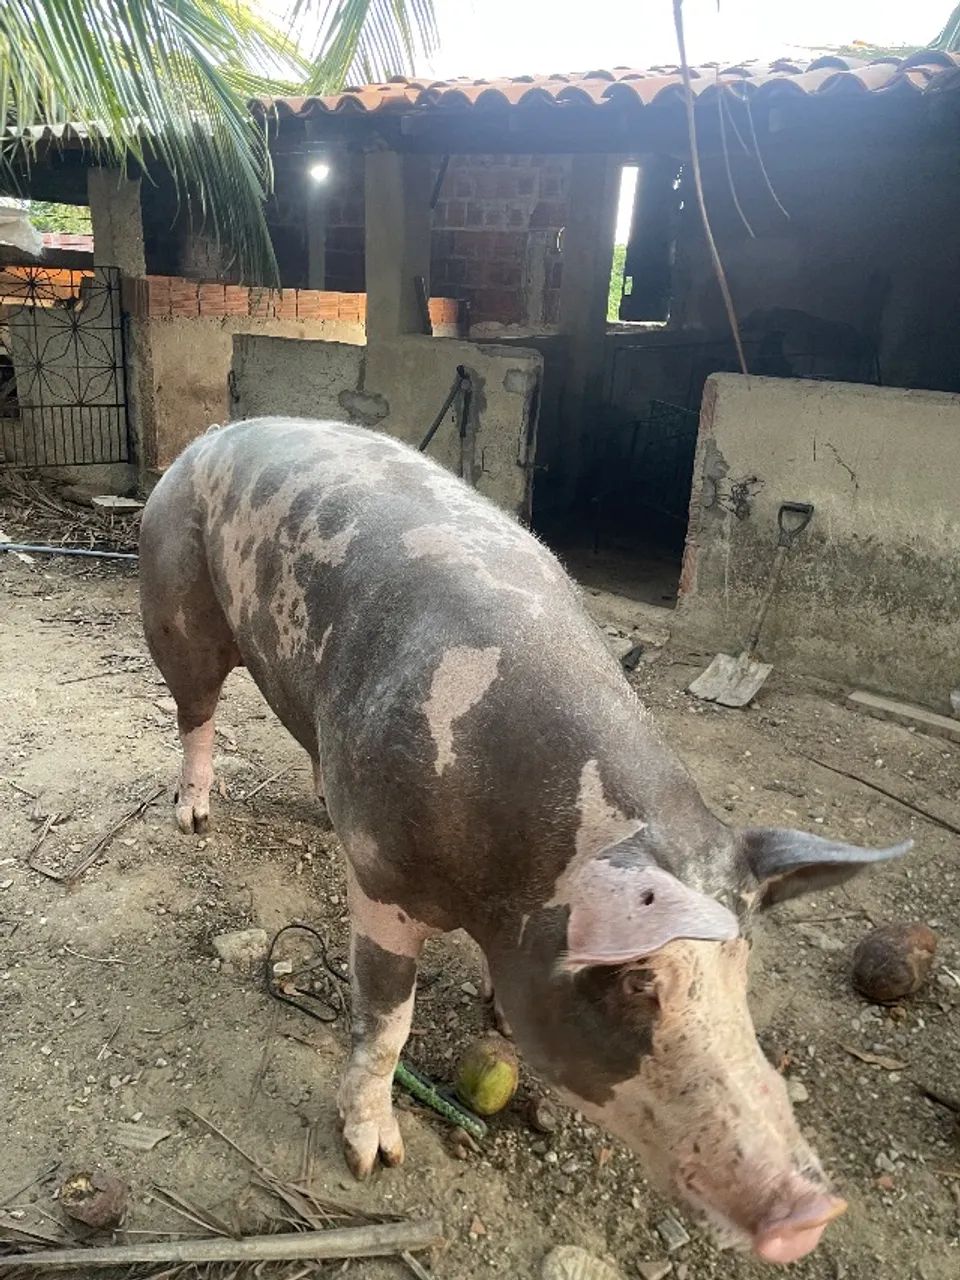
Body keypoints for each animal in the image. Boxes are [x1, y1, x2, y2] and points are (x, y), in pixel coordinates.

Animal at [139, 417, 909, 1264]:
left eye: (741, 966)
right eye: (638, 982)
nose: (814, 1212)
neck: (519, 869)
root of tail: (214, 435)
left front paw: (500, 1021)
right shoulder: (380, 882)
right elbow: (387, 1022)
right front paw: (374, 1159)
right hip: (173, 602)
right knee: (196, 708)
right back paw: (193, 818)